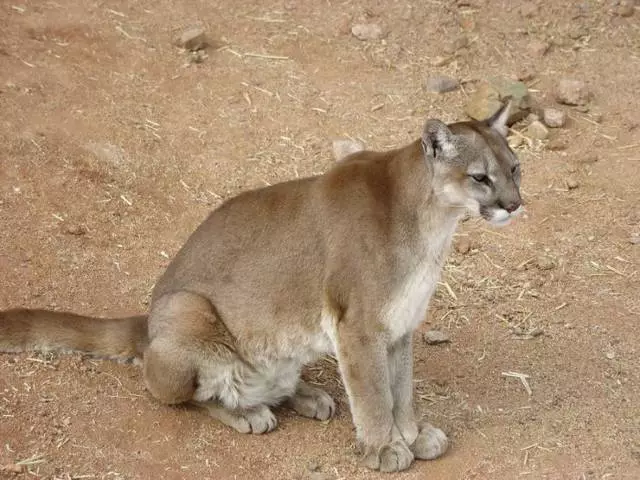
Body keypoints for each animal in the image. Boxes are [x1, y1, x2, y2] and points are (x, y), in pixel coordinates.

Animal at [0, 102, 520, 472]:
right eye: (480, 177)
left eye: (515, 168)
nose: (514, 205)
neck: (432, 221)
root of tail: (147, 319)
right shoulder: (359, 327)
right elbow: (374, 394)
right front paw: (385, 448)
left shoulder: (399, 327)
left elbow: (401, 388)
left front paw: (410, 434)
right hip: (187, 309)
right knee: (177, 391)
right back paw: (247, 412)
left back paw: (307, 395)